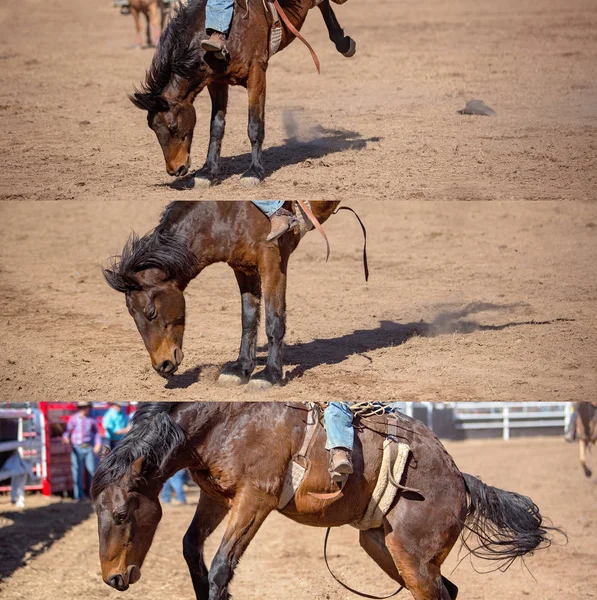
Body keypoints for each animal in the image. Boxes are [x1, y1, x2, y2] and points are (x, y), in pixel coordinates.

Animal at [91, 404, 560, 600]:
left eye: (121, 513)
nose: (113, 578)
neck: (225, 420)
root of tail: (459, 479)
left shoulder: (255, 498)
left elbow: (223, 566)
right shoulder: (217, 495)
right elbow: (193, 549)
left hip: (412, 556)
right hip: (383, 546)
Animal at [103, 202, 344, 390]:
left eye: (150, 312)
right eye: (131, 314)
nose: (162, 365)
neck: (225, 211)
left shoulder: (272, 258)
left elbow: (273, 320)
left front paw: (270, 375)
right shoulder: (243, 266)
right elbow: (248, 318)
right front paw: (241, 369)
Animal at [129, 0, 354, 185]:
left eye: (173, 126)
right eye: (152, 128)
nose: (175, 169)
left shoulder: (257, 72)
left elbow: (254, 125)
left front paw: (254, 172)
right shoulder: (217, 81)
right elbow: (216, 127)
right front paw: (208, 172)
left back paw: (343, 43)